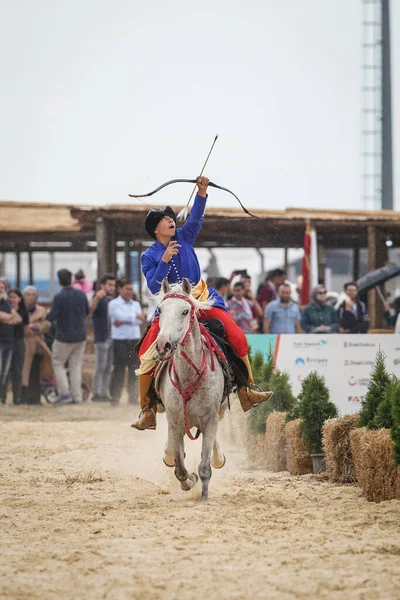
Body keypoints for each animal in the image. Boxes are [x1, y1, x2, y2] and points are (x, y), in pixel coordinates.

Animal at [154, 278, 227, 502]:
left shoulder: (210, 419)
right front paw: (189, 480)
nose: (163, 345)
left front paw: (203, 496)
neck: (188, 377)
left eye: (185, 311)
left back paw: (218, 458)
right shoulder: (175, 422)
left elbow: (204, 466)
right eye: (160, 310)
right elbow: (179, 468)